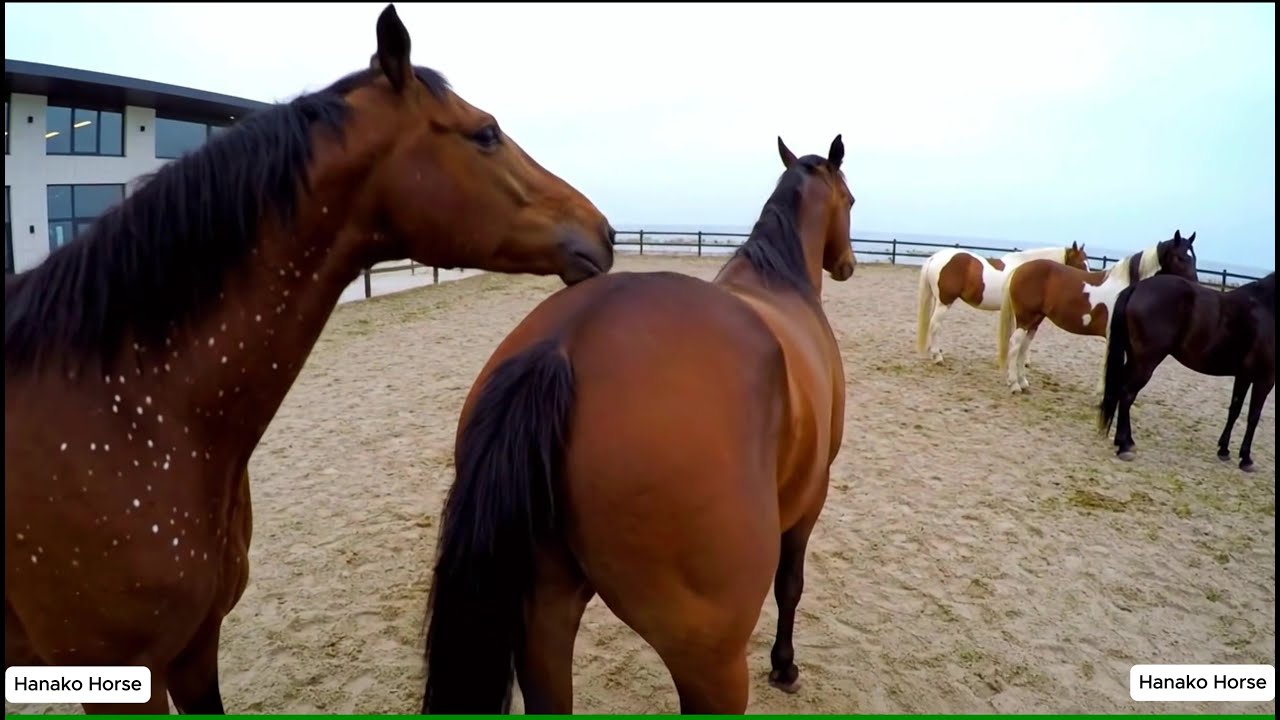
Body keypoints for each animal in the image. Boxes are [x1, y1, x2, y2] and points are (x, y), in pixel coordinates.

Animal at [419, 135, 856, 714]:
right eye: (850, 200)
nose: (848, 264)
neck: (780, 282)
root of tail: (567, 340)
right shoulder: (810, 500)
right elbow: (791, 585)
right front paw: (784, 666)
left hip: (543, 621)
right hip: (709, 660)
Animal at [995, 230, 1200, 395]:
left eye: (1194, 257)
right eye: (1180, 257)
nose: (1196, 286)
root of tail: (1020, 269)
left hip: (1035, 320)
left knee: (1023, 347)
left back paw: (1023, 383)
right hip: (1025, 318)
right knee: (1015, 344)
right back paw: (1014, 385)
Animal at [1098, 272, 1276, 471]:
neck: (1267, 307)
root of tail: (1138, 287)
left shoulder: (1244, 376)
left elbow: (1235, 410)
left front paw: (1224, 450)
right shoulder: (1265, 379)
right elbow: (1254, 417)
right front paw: (1246, 459)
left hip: (1135, 358)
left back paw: (1125, 441)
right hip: (1145, 361)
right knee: (1127, 394)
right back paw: (1125, 446)